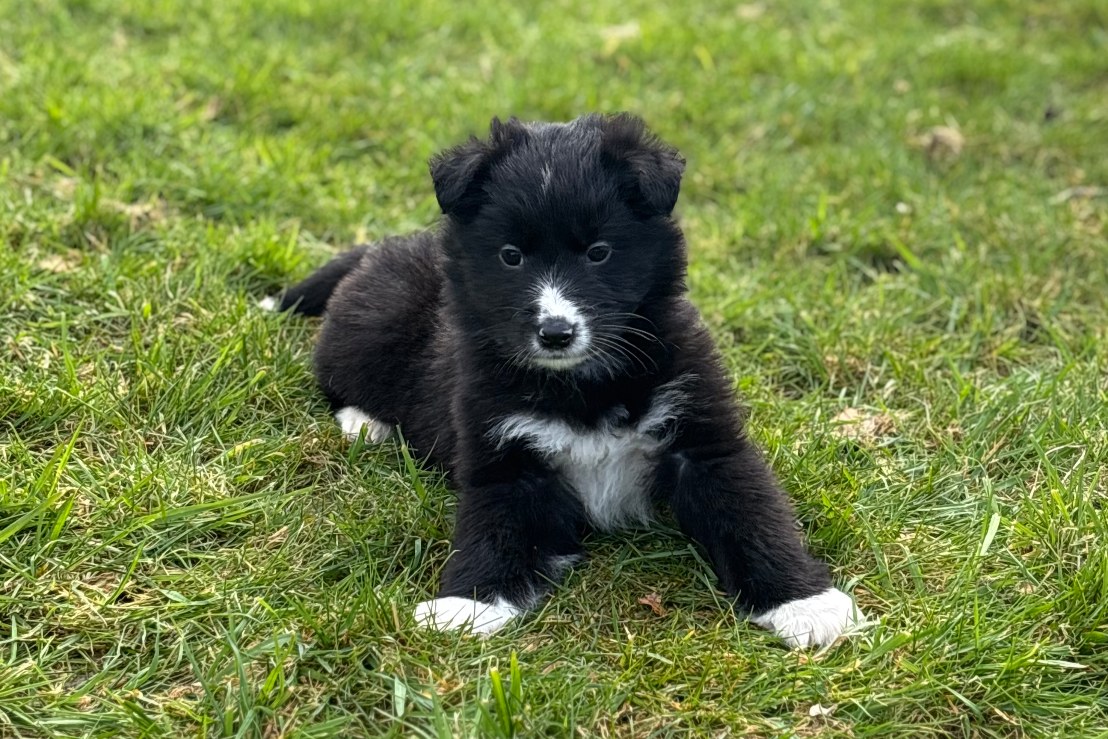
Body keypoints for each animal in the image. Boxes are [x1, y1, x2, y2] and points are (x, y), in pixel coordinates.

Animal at [267, 113, 864, 647]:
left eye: (599, 253)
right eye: (511, 256)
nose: (555, 332)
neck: (584, 386)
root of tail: (383, 247)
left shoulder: (704, 438)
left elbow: (751, 514)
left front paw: (804, 603)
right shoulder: (506, 458)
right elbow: (495, 530)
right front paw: (469, 603)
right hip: (371, 330)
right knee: (333, 375)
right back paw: (365, 421)